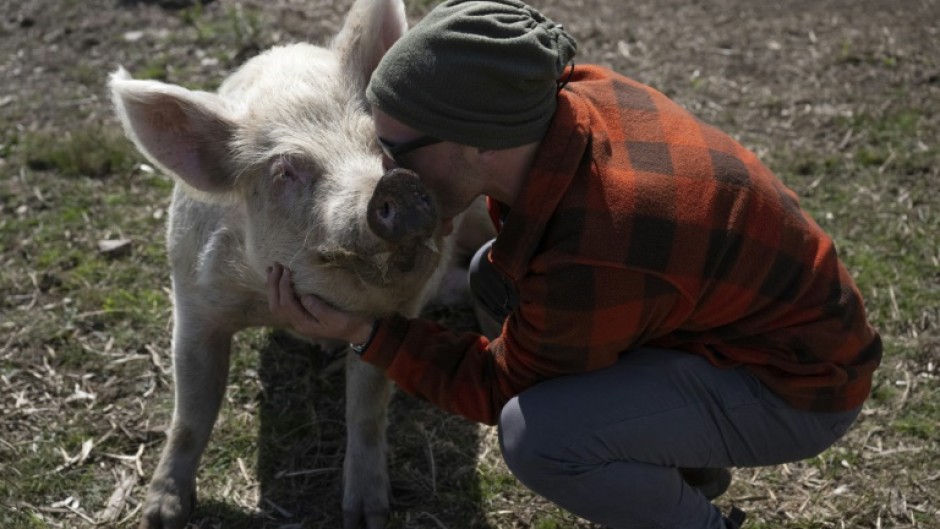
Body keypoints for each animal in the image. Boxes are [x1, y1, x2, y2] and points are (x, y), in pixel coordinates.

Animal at [107, 1, 496, 528]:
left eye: (381, 143)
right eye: (286, 170)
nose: (395, 184)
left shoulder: (391, 316)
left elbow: (367, 409)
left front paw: (368, 516)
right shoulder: (192, 300)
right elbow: (190, 411)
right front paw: (161, 515)